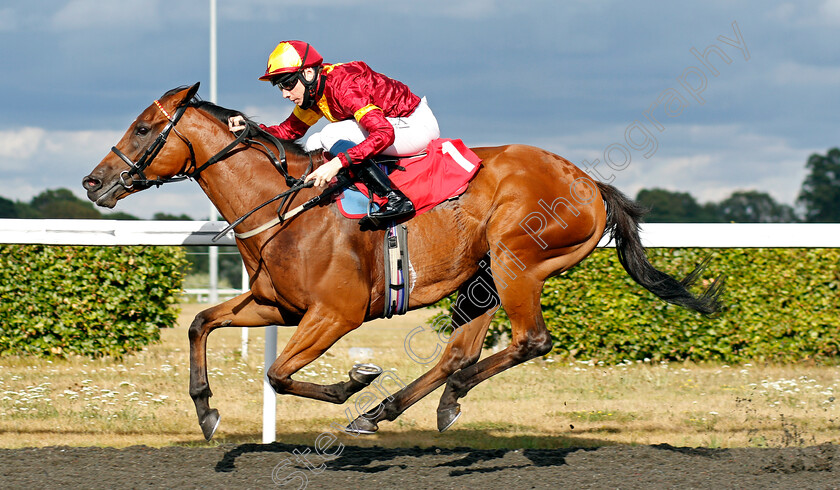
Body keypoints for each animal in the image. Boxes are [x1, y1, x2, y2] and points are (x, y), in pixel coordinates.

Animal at [82, 83, 720, 440]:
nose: (93, 182)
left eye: (143, 128)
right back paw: (406, 408)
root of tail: (590, 184)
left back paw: (428, 397)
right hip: (483, 276)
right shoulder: (276, 306)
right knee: (459, 352)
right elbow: (201, 323)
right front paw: (206, 411)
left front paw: (353, 381)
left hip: (517, 261)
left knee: (526, 341)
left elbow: (278, 374)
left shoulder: (335, 314)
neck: (288, 207)